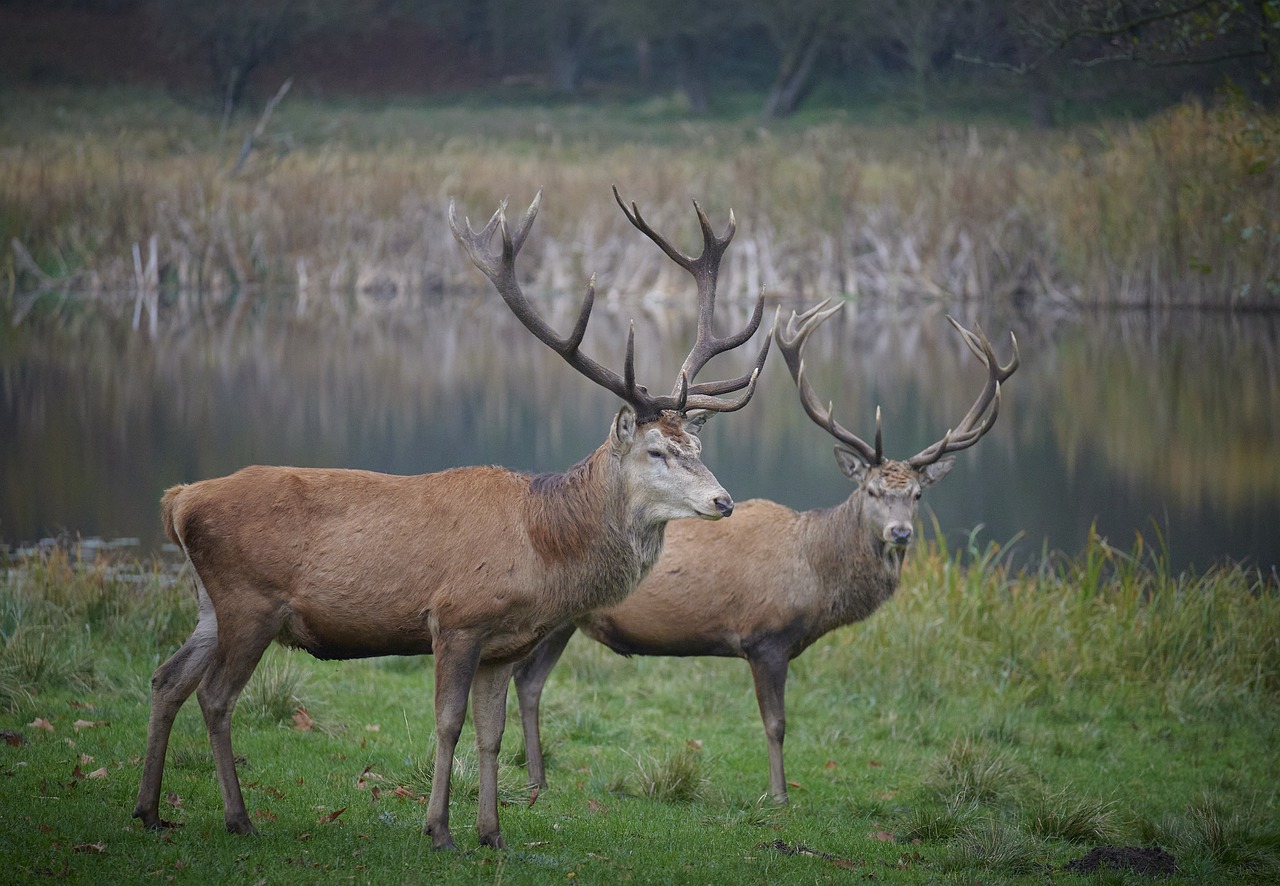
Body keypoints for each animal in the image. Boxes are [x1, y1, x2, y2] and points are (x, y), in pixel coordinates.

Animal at [132, 183, 768, 850]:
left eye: (696, 445)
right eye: (656, 451)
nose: (723, 501)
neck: (544, 547)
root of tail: (180, 501)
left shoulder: (504, 643)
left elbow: (492, 732)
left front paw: (492, 833)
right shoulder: (458, 618)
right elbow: (448, 723)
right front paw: (438, 828)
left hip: (212, 604)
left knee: (166, 679)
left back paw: (150, 809)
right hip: (249, 601)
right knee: (215, 697)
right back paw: (239, 817)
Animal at [512, 297, 1018, 804]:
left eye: (917, 494)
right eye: (872, 491)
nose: (900, 533)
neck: (816, 577)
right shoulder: (765, 637)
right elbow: (776, 724)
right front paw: (779, 796)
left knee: (529, 681)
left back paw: (539, 779)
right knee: (524, 677)